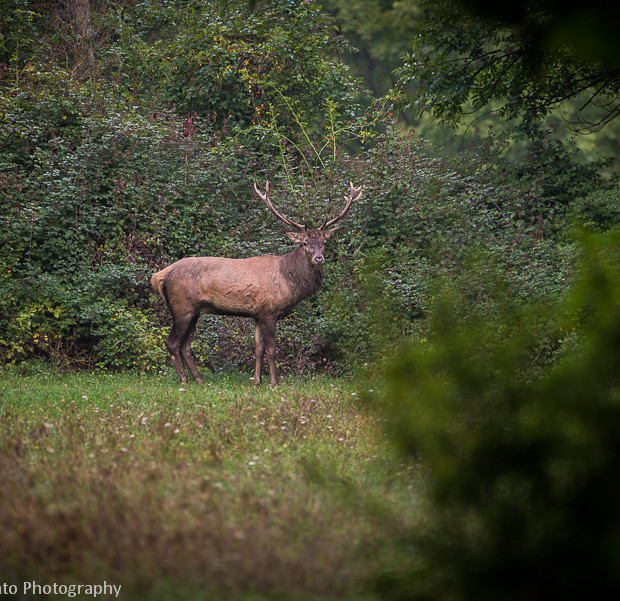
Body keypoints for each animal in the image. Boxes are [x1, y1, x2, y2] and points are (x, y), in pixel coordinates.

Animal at [151, 180, 364, 384]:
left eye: (324, 243)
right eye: (305, 243)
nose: (319, 258)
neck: (289, 280)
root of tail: (159, 276)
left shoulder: (257, 314)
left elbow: (259, 348)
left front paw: (257, 381)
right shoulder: (269, 312)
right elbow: (272, 349)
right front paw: (274, 383)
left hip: (195, 311)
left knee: (186, 345)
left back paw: (200, 379)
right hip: (182, 306)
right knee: (172, 343)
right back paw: (184, 380)